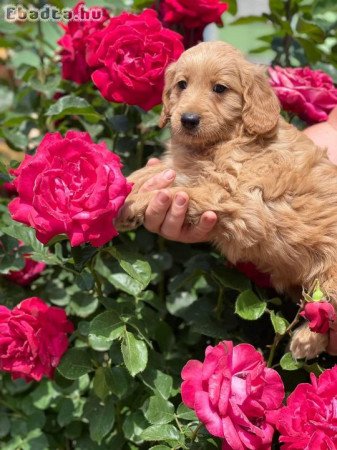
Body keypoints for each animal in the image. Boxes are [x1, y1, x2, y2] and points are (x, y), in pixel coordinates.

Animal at [116, 42, 337, 358]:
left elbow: (177, 191)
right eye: (182, 85)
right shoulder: (182, 168)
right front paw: (117, 186)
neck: (228, 138)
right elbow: (152, 172)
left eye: (220, 88)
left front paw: (133, 204)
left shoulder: (235, 197)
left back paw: (305, 341)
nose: (188, 120)